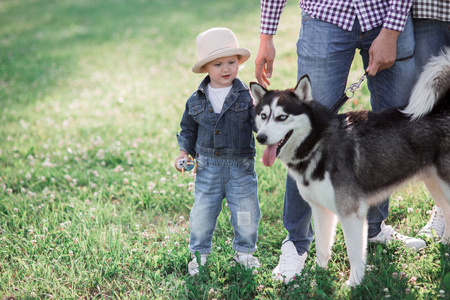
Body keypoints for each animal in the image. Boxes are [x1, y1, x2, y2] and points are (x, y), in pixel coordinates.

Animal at [250, 48, 450, 284]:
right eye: (263, 116)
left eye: (282, 117)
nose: (261, 138)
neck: (317, 143)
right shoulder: (320, 209)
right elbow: (321, 248)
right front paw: (317, 276)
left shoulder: (351, 213)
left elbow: (354, 253)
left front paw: (354, 283)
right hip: (434, 184)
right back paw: (444, 246)